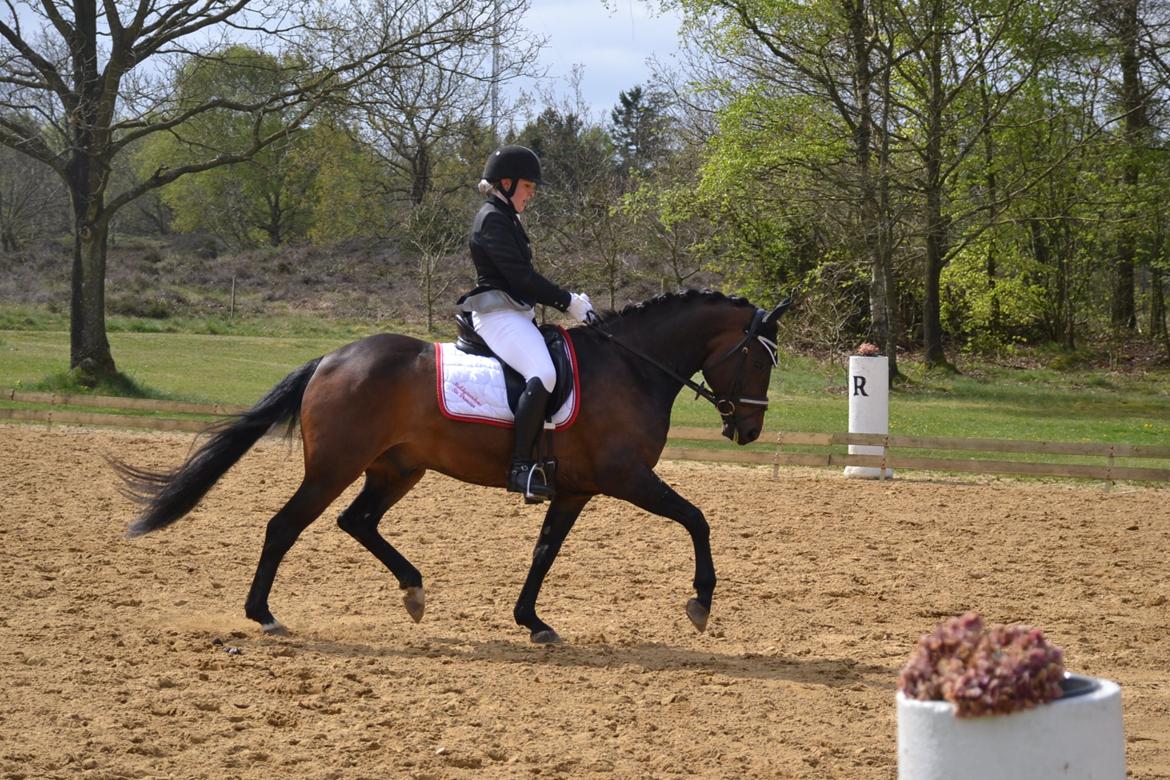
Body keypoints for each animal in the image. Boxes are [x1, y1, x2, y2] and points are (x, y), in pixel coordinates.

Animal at [116, 290, 793, 644]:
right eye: (760, 359)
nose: (748, 430)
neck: (632, 367)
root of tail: (332, 358)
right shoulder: (628, 479)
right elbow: (698, 519)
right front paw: (701, 602)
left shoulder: (575, 491)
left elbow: (545, 552)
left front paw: (532, 621)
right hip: (336, 466)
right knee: (285, 526)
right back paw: (263, 615)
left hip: (397, 469)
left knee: (357, 523)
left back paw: (413, 590)